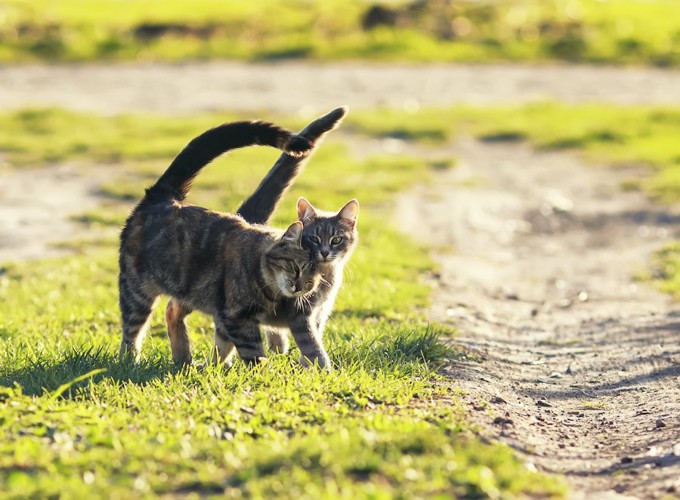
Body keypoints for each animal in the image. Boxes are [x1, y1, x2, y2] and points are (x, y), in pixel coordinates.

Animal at [119, 118, 326, 366]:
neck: (272, 292)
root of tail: (163, 196)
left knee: (171, 310)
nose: (300, 287)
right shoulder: (237, 317)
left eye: (313, 278)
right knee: (132, 330)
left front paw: (217, 366)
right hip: (137, 291)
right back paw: (130, 361)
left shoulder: (227, 316)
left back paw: (183, 359)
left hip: (191, 289)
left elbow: (225, 345)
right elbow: (253, 353)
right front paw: (262, 372)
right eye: (296, 267)